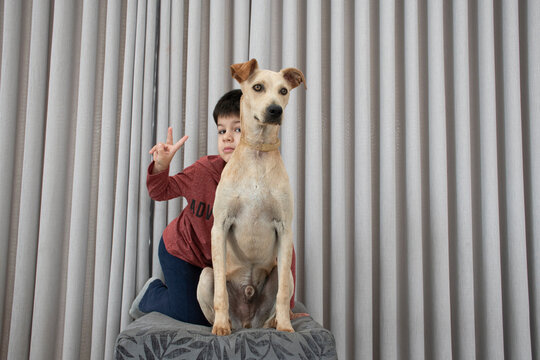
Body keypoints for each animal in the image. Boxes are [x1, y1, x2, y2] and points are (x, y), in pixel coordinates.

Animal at [197, 59, 308, 334]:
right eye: (258, 87)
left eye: (283, 91)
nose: (275, 110)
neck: (258, 152)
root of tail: (247, 323)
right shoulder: (220, 226)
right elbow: (220, 293)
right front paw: (221, 328)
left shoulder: (285, 229)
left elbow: (283, 294)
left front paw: (286, 328)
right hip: (205, 275)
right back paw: (224, 324)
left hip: (283, 273)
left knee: (280, 295)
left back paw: (274, 323)